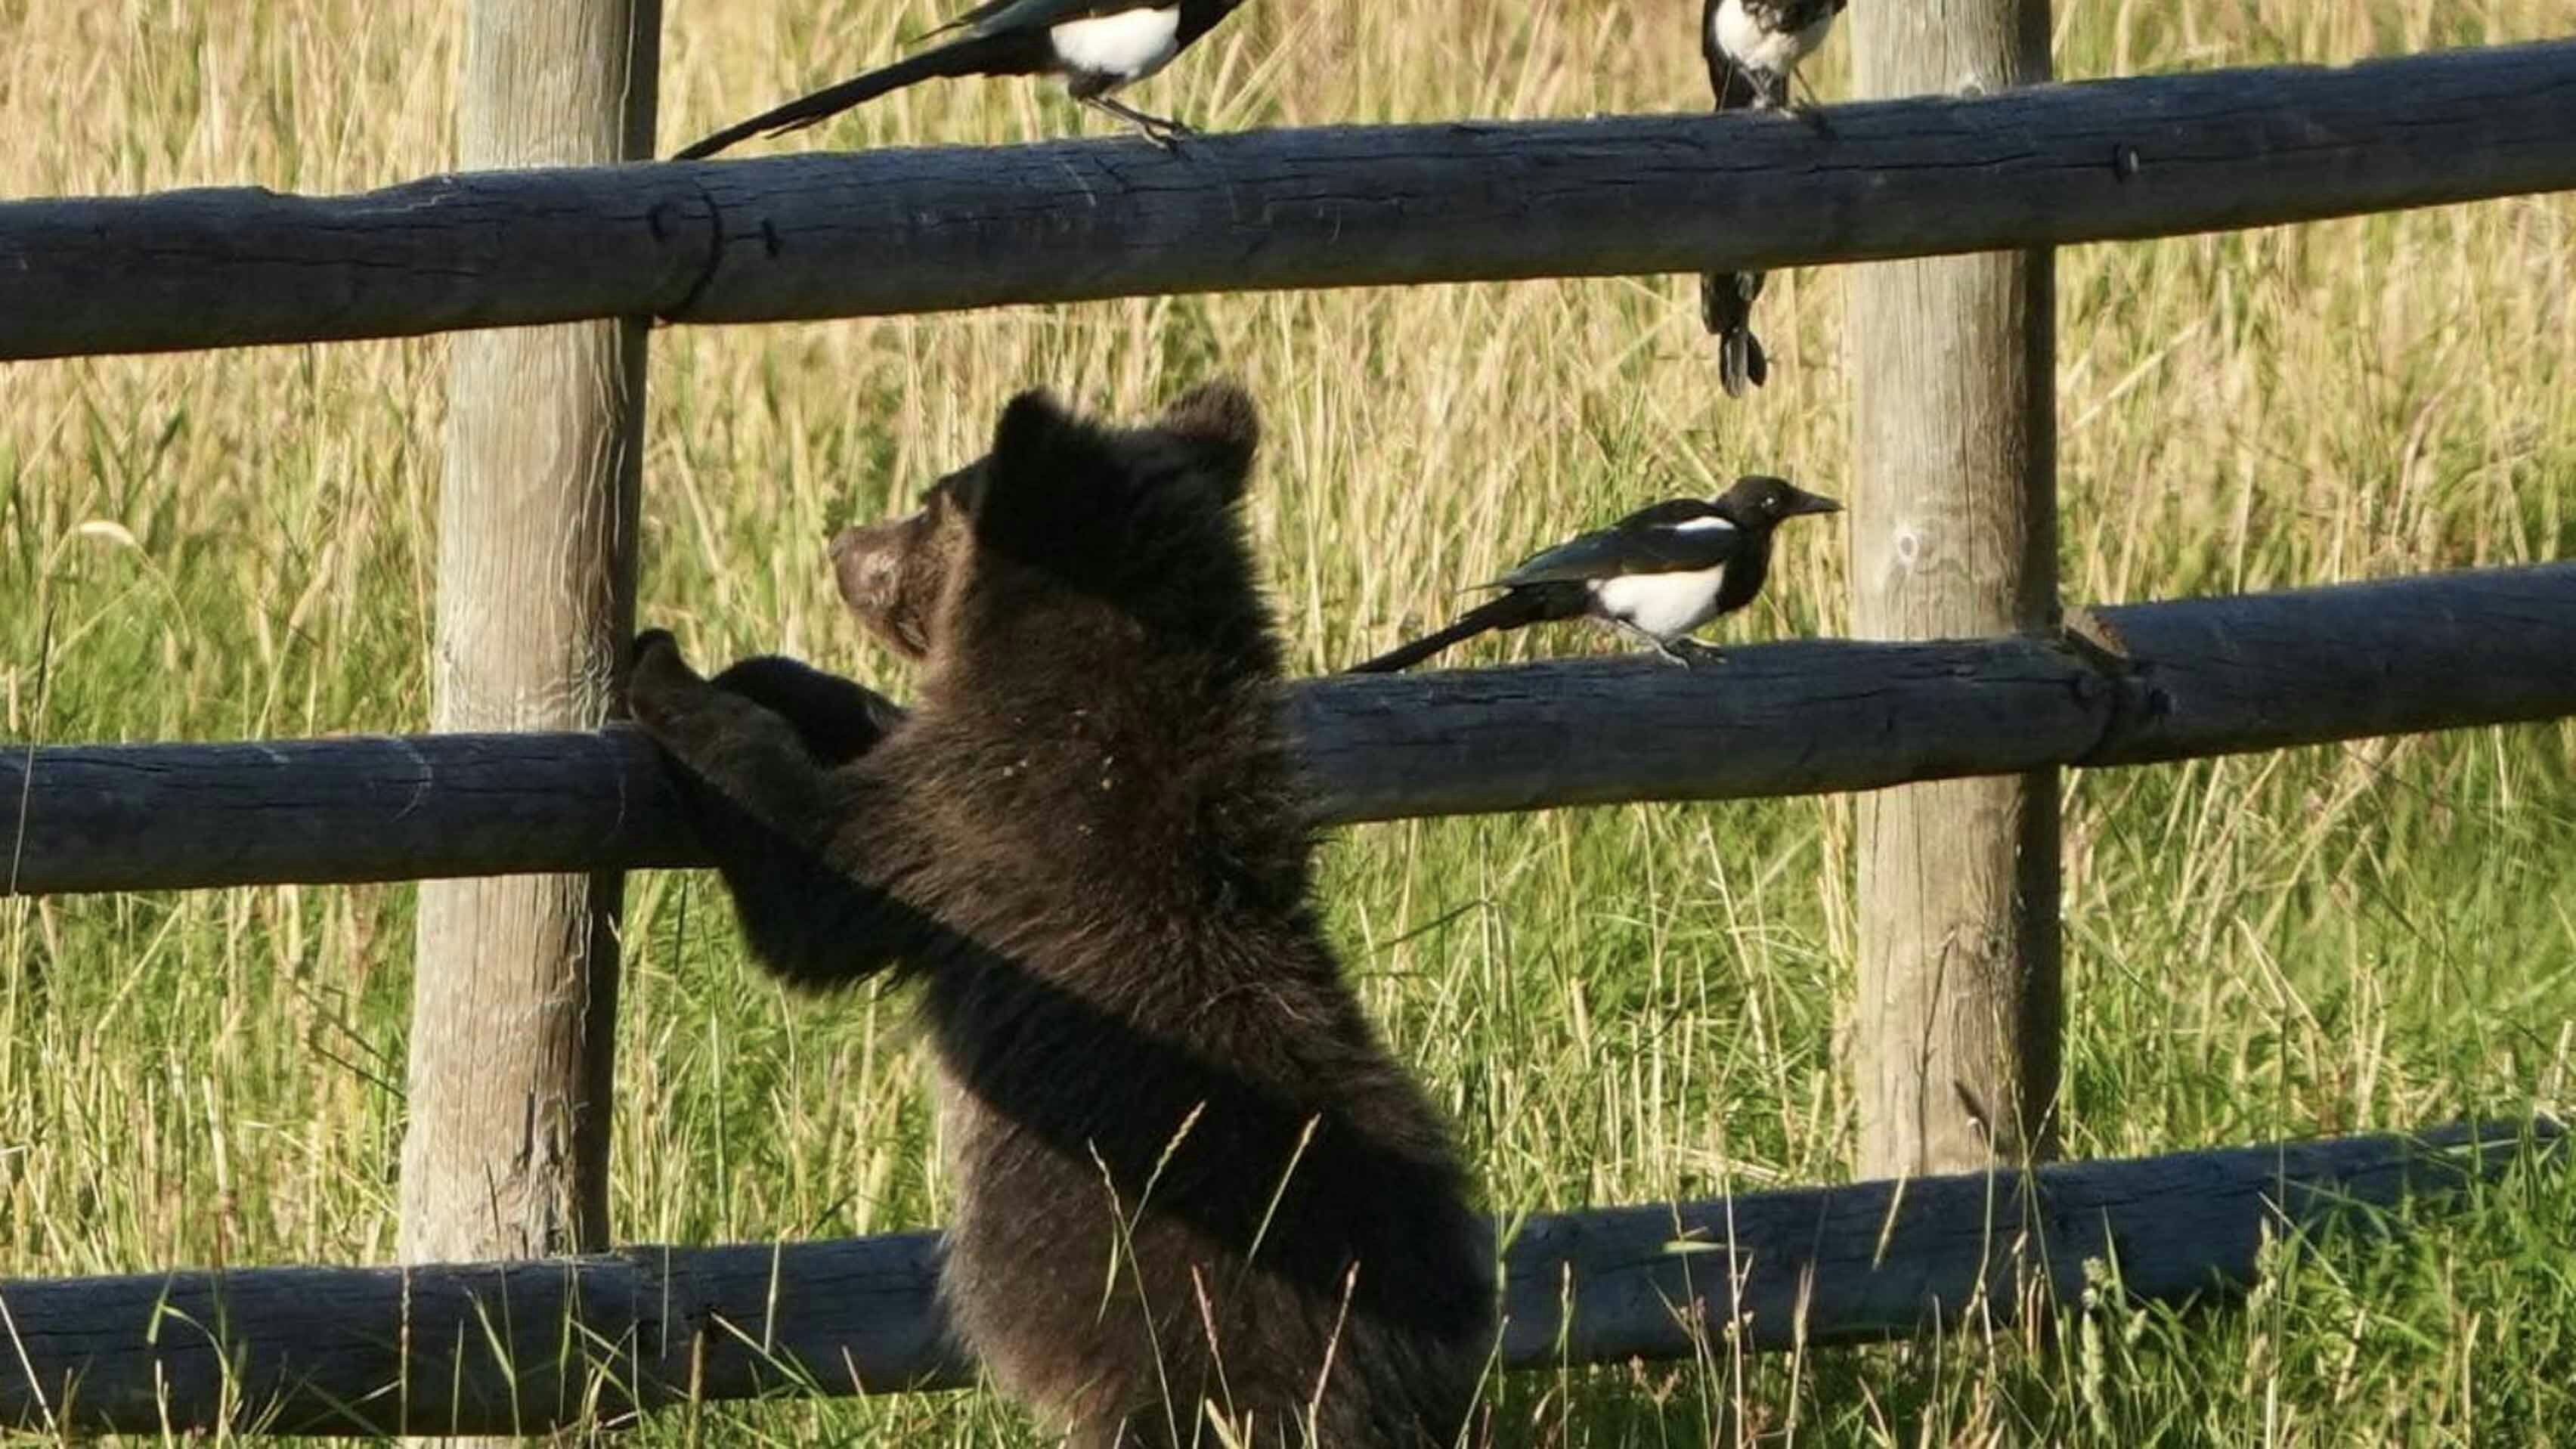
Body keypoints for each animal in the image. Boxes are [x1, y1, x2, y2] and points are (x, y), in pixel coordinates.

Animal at [627, 383, 1494, 1448]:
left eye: (932, 499)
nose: (843, 543)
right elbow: (872, 736)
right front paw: (770, 670)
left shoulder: (973, 842)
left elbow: (813, 876)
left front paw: (669, 670)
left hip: (1194, 1342)